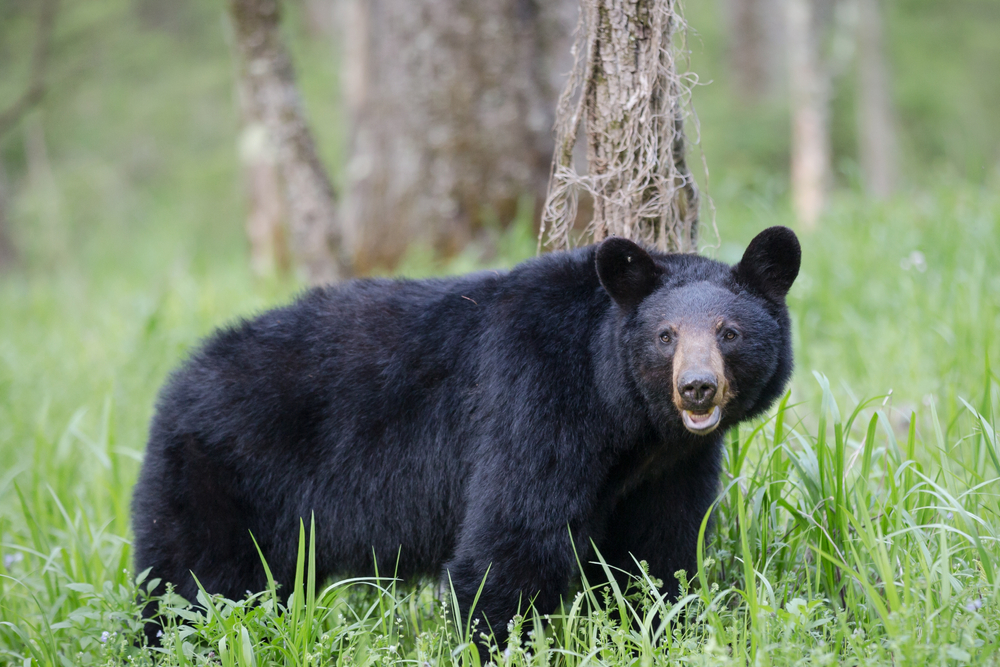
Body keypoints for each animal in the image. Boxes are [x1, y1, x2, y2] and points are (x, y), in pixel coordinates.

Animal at [133, 224, 800, 648]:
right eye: (665, 336)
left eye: (729, 332)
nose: (696, 388)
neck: (626, 417)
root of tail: (178, 379)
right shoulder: (536, 399)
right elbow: (512, 541)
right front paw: (496, 644)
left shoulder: (672, 464)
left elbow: (656, 554)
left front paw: (660, 633)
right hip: (222, 475)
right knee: (191, 586)